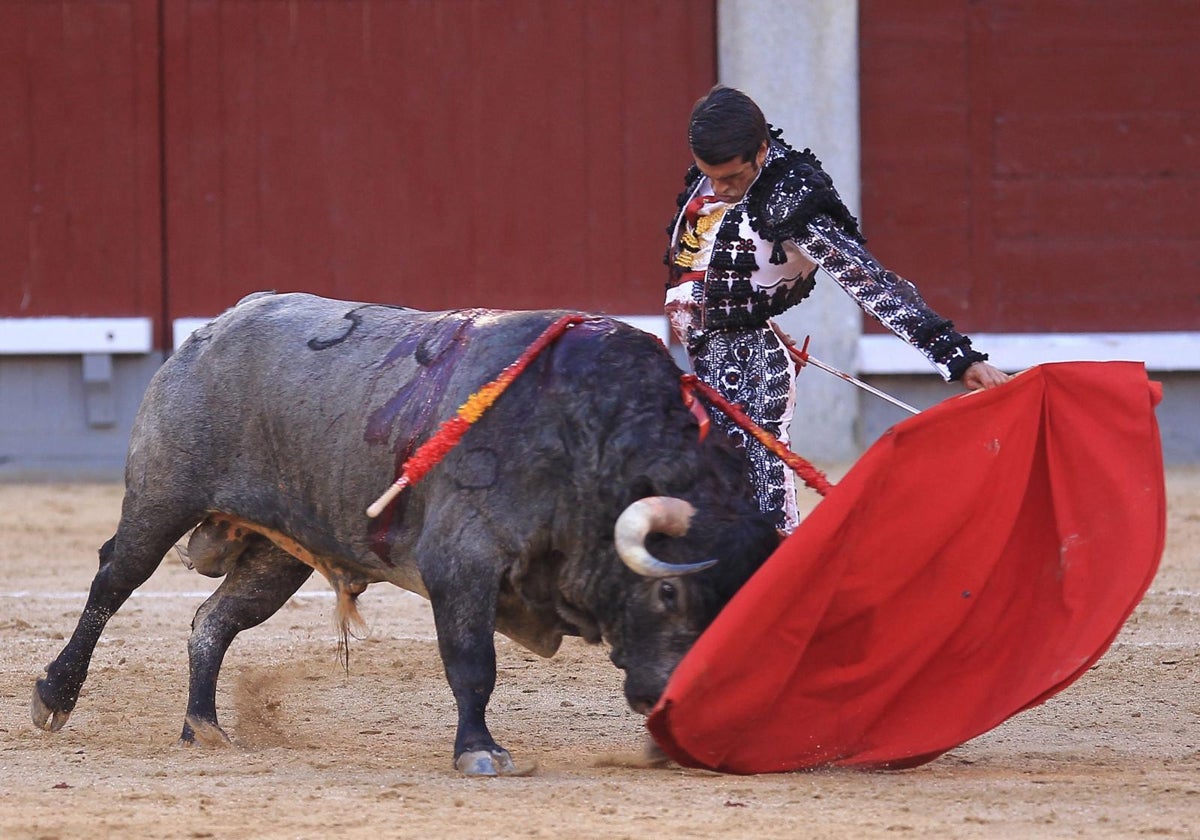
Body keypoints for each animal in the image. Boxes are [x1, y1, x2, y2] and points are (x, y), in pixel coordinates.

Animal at [30, 294, 777, 772]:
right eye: (669, 596)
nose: (670, 703)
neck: (589, 440)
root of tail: (212, 329)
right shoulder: (462, 561)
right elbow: (472, 662)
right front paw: (480, 752)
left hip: (277, 555)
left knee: (210, 621)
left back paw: (205, 729)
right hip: (161, 499)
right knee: (112, 583)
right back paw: (54, 698)